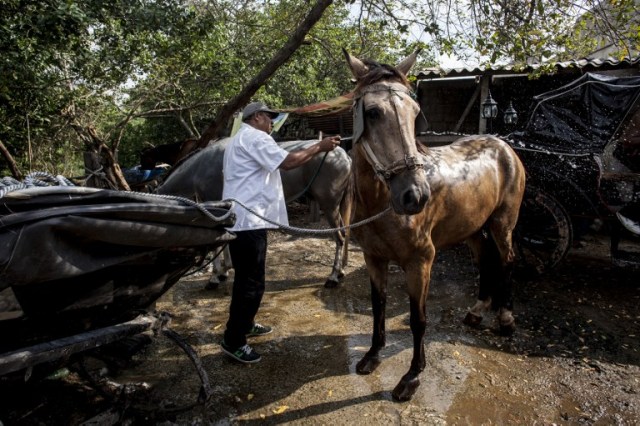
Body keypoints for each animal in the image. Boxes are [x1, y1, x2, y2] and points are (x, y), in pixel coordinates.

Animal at [156, 138, 356, 288]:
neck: (201, 167)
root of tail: (343, 155)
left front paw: (214, 277)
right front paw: (224, 271)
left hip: (329, 206)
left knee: (339, 237)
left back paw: (333, 277)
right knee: (343, 233)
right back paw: (341, 271)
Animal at [342, 48, 528, 402]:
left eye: (415, 113)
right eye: (371, 112)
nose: (415, 195)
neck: (382, 204)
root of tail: (504, 146)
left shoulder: (420, 262)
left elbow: (418, 319)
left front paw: (412, 377)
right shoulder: (374, 258)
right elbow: (378, 305)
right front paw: (372, 355)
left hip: (503, 225)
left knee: (508, 261)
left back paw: (507, 318)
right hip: (474, 230)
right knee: (485, 260)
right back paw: (477, 310)